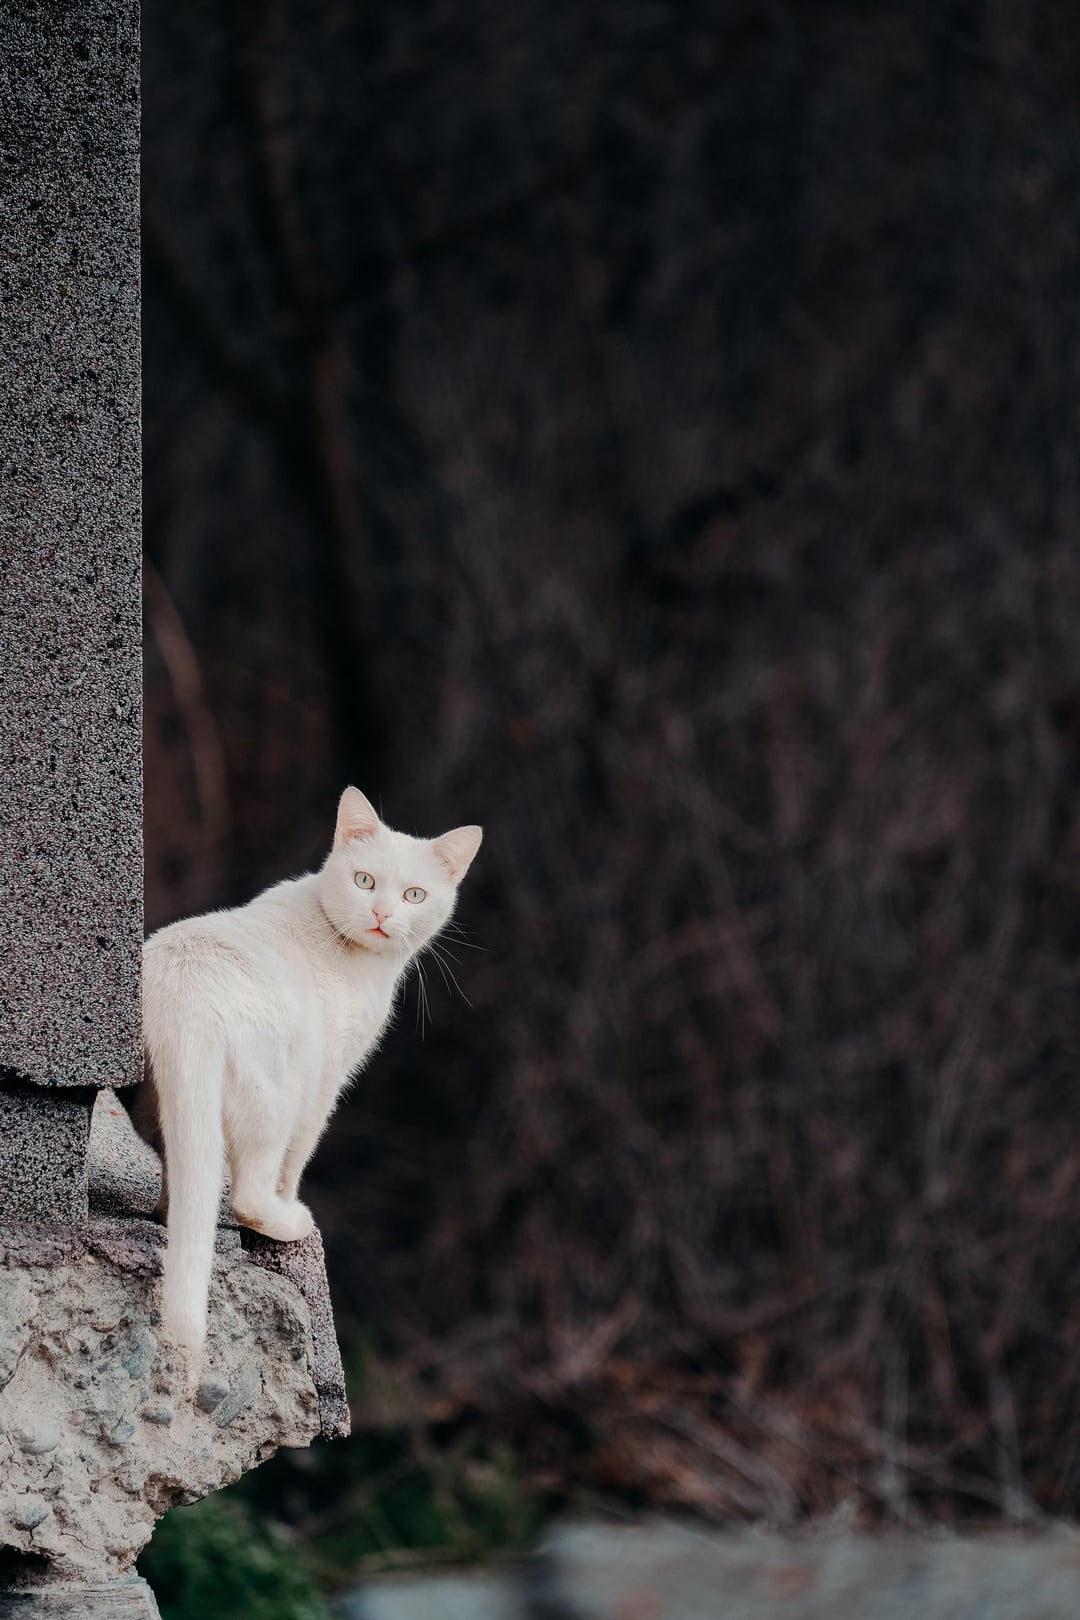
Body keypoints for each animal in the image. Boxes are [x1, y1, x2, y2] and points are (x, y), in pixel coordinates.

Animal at [138, 786, 482, 1357]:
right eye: (364, 881)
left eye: (414, 895)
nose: (382, 913)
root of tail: (188, 999)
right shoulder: (329, 1076)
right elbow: (299, 1156)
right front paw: (291, 1199)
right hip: (283, 1088)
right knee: (249, 1193)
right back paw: (289, 1221)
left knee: (186, 1174)